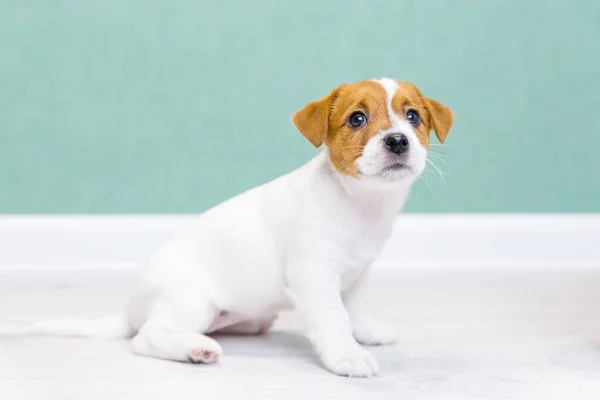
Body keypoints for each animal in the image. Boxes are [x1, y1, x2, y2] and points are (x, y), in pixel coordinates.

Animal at [19, 77, 454, 378]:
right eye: (357, 119)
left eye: (413, 116)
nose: (398, 141)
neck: (359, 203)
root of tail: (130, 311)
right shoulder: (313, 277)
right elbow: (334, 318)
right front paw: (347, 355)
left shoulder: (359, 272)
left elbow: (356, 309)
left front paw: (365, 333)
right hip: (190, 302)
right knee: (147, 336)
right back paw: (194, 349)